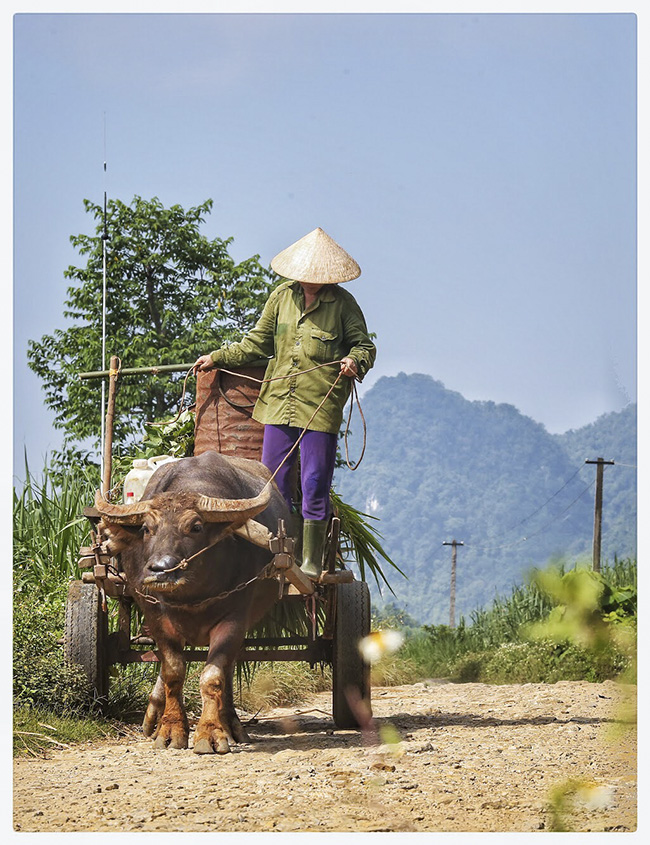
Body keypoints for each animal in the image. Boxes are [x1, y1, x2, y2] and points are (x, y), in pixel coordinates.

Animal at [95, 448, 288, 752]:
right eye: (147, 528)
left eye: (196, 527)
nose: (161, 568)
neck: (194, 592)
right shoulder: (155, 617)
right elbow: (173, 671)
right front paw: (170, 730)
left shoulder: (234, 619)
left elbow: (213, 677)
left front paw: (210, 733)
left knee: (227, 672)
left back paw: (231, 725)